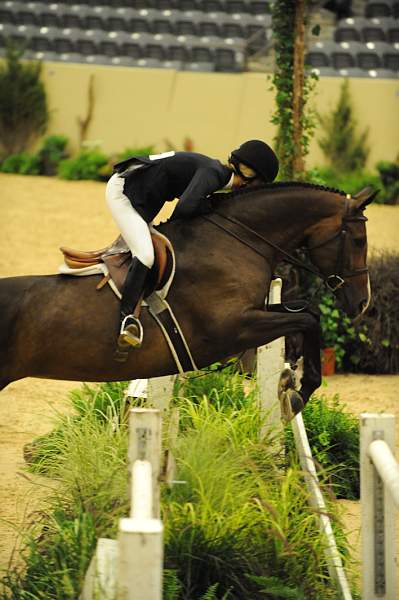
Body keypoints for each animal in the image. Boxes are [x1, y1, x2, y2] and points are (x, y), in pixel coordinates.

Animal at [0, 180, 376, 420]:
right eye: (358, 241)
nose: (363, 304)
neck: (237, 239)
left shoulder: (253, 315)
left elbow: (308, 313)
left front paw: (293, 386)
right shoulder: (232, 329)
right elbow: (308, 319)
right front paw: (299, 393)